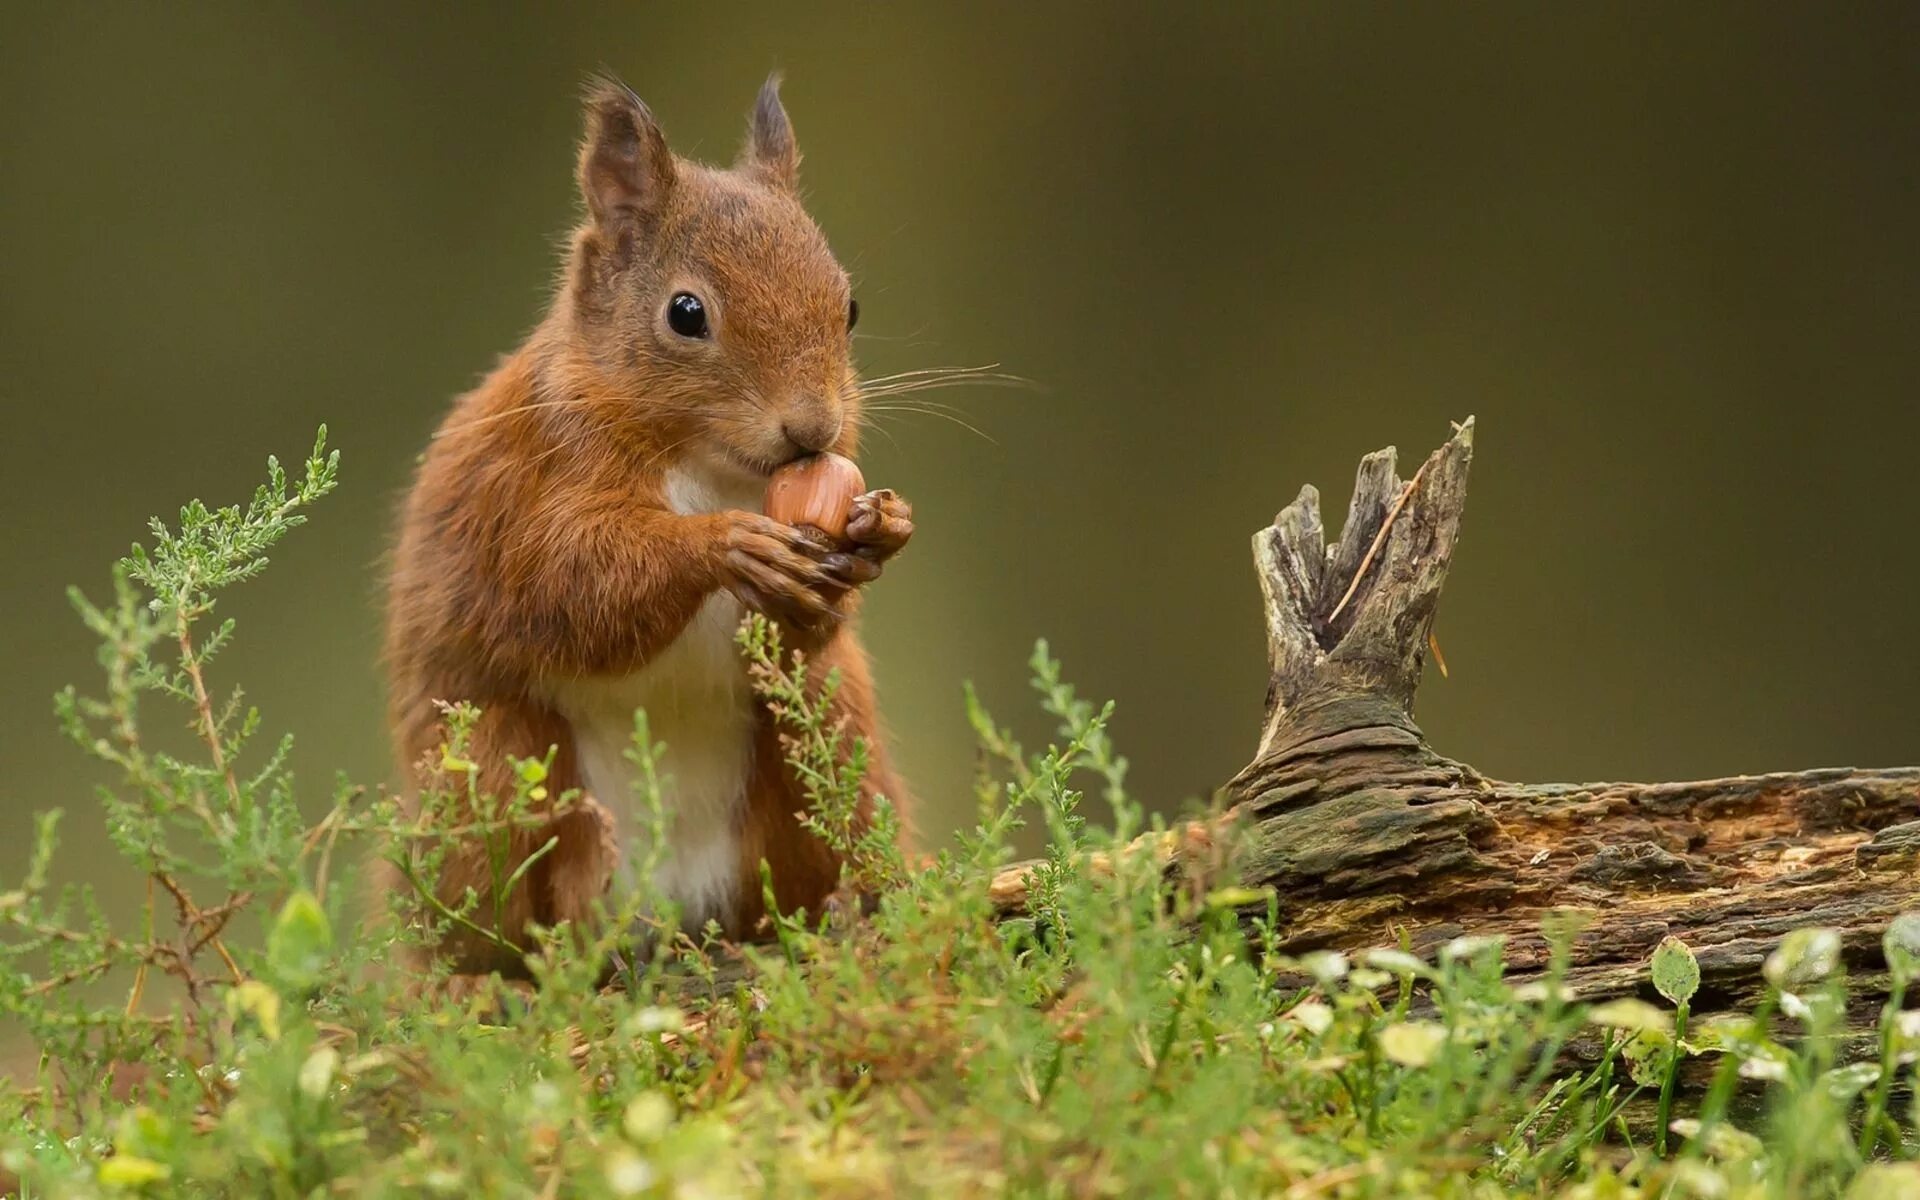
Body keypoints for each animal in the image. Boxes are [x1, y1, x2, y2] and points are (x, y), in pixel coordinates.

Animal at [384, 74, 913, 975]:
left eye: (848, 305)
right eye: (686, 313)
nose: (814, 429)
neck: (711, 465)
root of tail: (672, 909)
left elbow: (804, 631)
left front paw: (878, 532)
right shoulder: (527, 490)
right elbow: (573, 585)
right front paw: (726, 546)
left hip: (833, 736)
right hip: (491, 768)